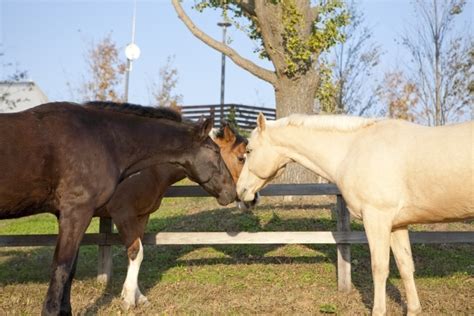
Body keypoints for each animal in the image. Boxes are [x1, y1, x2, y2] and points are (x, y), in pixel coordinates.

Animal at [0, 102, 237, 314]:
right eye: (215, 151)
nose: (232, 193)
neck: (103, 141)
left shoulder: (132, 216)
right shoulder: (94, 213)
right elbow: (64, 268)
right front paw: (129, 299)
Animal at [237, 113, 474, 316]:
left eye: (249, 150)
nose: (241, 192)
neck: (352, 150)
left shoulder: (377, 219)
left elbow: (379, 269)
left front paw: (378, 311)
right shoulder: (397, 224)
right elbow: (406, 266)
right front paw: (414, 310)